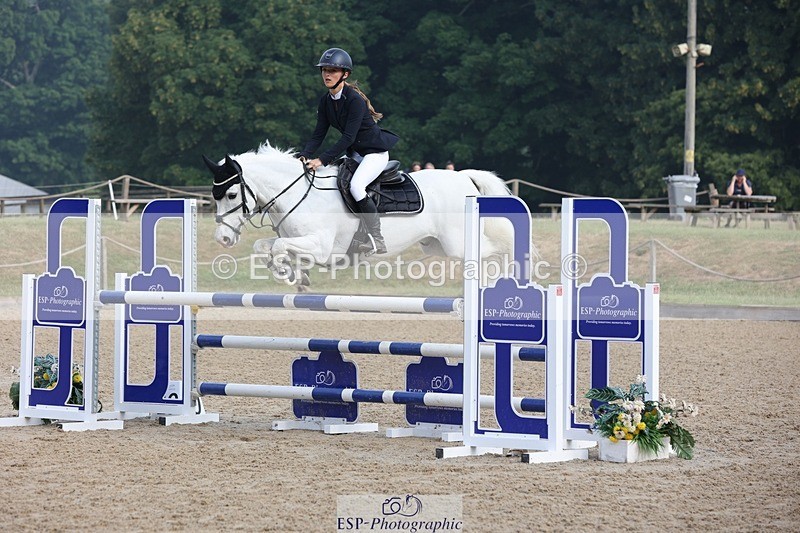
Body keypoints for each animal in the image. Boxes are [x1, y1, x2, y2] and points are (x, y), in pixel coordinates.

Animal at [203, 142, 519, 289]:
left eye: (231, 195)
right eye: (215, 196)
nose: (222, 239)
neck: (299, 195)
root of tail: (464, 177)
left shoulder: (322, 248)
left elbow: (280, 246)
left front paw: (286, 272)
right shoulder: (300, 243)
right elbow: (264, 247)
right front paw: (290, 274)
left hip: (457, 244)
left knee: (496, 249)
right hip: (436, 245)